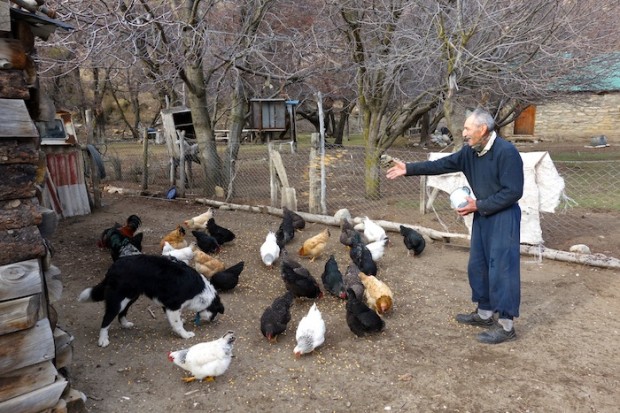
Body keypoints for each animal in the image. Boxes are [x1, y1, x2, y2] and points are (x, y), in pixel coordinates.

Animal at [78, 253, 225, 346]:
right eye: (216, 313)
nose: (213, 320)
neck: (201, 291)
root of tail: (113, 267)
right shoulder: (173, 305)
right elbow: (177, 323)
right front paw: (185, 334)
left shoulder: (167, 305)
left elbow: (176, 319)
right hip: (118, 300)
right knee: (106, 319)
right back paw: (103, 340)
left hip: (131, 296)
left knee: (122, 313)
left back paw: (125, 324)